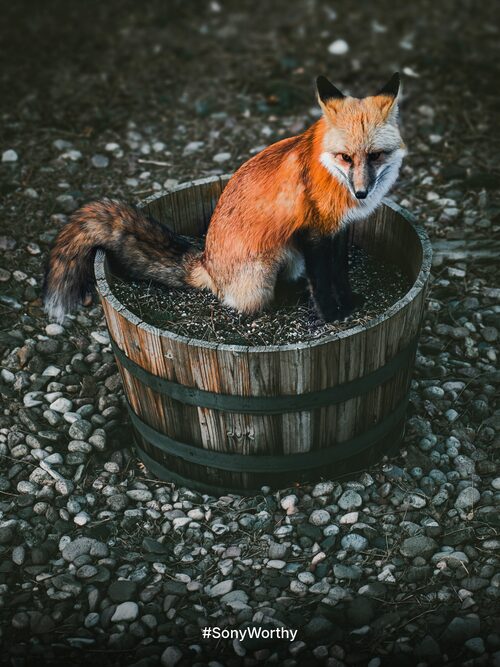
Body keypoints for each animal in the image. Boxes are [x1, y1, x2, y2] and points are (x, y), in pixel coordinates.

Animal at [44, 73, 405, 324]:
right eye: (345, 157)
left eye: (375, 156)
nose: (361, 192)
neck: (329, 173)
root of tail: (206, 264)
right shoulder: (312, 233)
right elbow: (322, 280)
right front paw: (331, 315)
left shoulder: (338, 230)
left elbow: (339, 273)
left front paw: (348, 303)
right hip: (266, 269)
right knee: (243, 303)